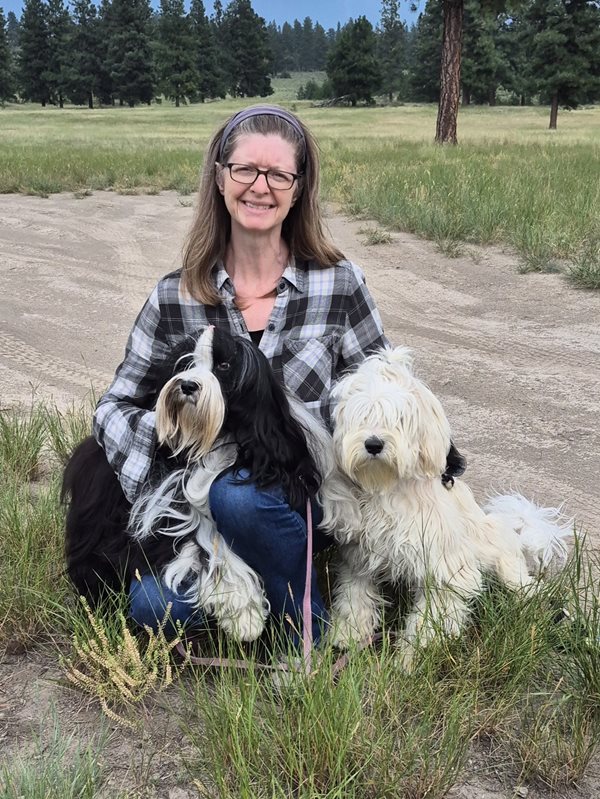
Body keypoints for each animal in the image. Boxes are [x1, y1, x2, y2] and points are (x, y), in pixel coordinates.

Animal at [63, 326, 350, 642]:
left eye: (223, 366)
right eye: (185, 362)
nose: (188, 385)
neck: (221, 435)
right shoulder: (168, 499)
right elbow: (204, 538)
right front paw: (243, 611)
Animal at [328, 346, 571, 664]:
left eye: (400, 418)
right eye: (363, 415)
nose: (373, 444)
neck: (389, 489)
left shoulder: (446, 570)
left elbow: (428, 622)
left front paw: (409, 660)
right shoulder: (360, 558)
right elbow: (354, 598)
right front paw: (348, 634)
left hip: (502, 558)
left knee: (522, 584)